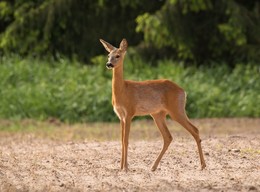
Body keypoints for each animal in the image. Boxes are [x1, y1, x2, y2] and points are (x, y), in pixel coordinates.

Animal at [98, 38, 206, 172]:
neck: (123, 91)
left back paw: (202, 165)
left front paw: (126, 168)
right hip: (158, 114)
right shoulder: (120, 116)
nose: (109, 64)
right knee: (168, 136)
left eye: (118, 55)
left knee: (194, 129)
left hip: (176, 109)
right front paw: (121, 167)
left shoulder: (129, 113)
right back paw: (153, 167)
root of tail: (183, 91)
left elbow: (126, 140)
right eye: (108, 55)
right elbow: (121, 140)